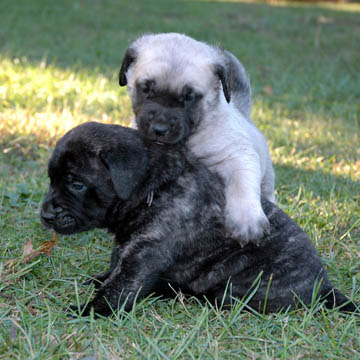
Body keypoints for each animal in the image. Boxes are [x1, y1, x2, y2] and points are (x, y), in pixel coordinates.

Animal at [40, 122, 356, 316]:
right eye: (52, 180)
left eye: (76, 183)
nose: (45, 215)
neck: (155, 187)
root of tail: (324, 286)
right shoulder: (129, 244)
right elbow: (115, 263)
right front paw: (100, 278)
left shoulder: (145, 254)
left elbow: (121, 287)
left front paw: (89, 311)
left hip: (243, 284)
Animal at [119, 33, 274, 245]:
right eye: (146, 89)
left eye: (189, 97)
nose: (160, 129)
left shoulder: (237, 157)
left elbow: (241, 184)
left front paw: (246, 219)